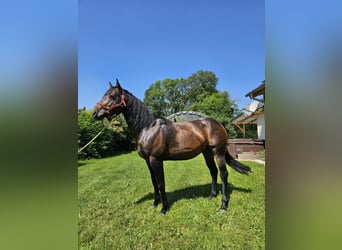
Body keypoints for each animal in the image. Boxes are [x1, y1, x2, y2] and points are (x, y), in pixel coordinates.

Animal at [91, 79, 251, 214]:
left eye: (112, 96)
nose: (94, 113)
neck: (147, 127)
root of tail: (218, 124)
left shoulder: (156, 159)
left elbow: (161, 183)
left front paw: (163, 209)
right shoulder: (148, 160)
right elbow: (154, 182)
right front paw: (154, 204)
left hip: (218, 152)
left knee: (224, 174)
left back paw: (223, 206)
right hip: (207, 153)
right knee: (213, 172)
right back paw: (211, 196)